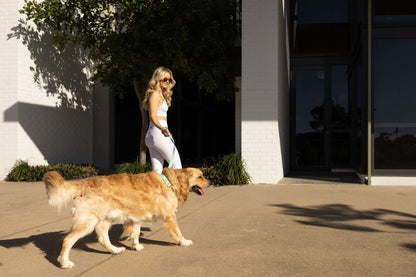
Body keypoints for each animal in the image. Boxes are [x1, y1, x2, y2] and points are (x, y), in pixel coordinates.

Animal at [44, 166, 211, 268]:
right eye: (200, 176)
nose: (210, 182)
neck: (169, 182)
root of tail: (84, 183)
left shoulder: (135, 217)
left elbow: (135, 233)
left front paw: (136, 246)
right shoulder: (170, 216)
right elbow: (177, 232)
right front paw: (183, 241)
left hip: (105, 219)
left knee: (103, 239)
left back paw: (115, 250)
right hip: (88, 221)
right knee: (68, 240)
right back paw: (65, 262)